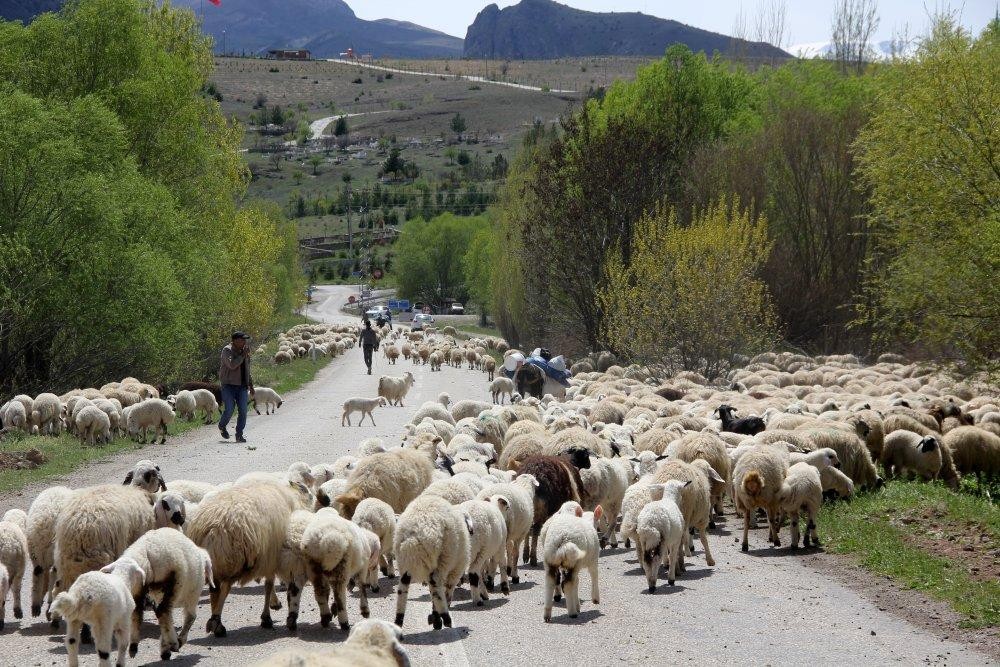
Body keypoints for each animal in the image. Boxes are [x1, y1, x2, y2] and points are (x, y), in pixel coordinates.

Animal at [102, 528, 212, 664]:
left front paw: (169, 644)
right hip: (171, 588)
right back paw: (170, 644)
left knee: (164, 614)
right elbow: (188, 617)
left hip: (175, 591)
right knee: (166, 613)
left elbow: (164, 615)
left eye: (132, 574)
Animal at [184, 480, 308, 636]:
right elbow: (268, 585)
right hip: (234, 560)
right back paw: (217, 623)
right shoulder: (270, 556)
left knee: (215, 591)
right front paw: (267, 617)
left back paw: (215, 622)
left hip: (217, 564)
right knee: (224, 589)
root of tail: (213, 528)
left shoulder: (267, 558)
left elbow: (269, 583)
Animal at [298, 508, 376, 636]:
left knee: (320, 591)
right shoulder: (363, 568)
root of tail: (327, 539)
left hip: (313, 566)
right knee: (340, 594)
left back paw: (325, 617)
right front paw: (365, 610)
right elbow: (362, 587)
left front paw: (332, 609)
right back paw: (344, 622)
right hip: (342, 567)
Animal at [390, 496, 472, 632]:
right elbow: (447, 590)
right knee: (436, 587)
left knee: (403, 588)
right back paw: (445, 618)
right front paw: (438, 616)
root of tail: (414, 535)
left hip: (405, 562)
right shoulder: (455, 570)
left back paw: (398, 620)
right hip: (443, 558)